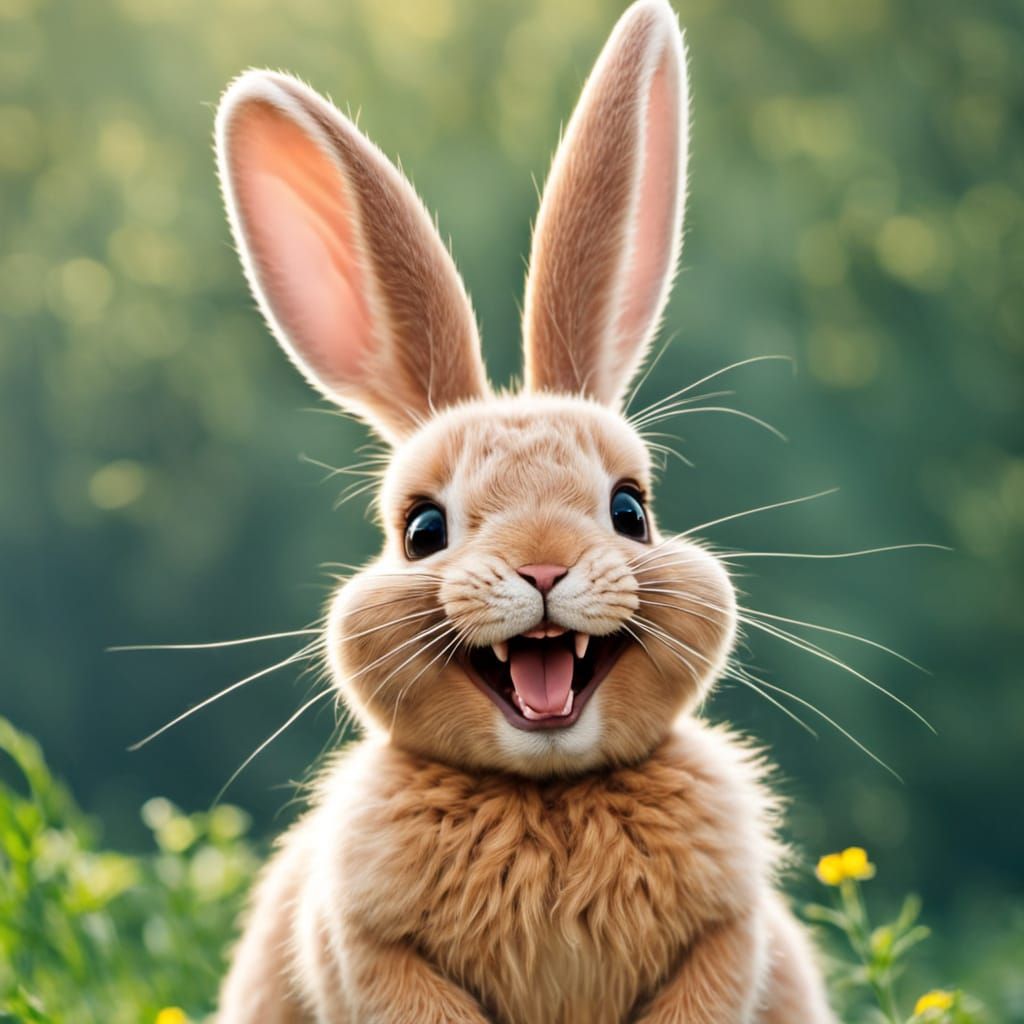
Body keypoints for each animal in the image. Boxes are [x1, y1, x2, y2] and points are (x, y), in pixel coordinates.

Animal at [212, 1, 837, 1021]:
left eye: (631, 510)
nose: (544, 567)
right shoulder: (369, 953)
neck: (544, 792)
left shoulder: (726, 940)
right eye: (421, 530)